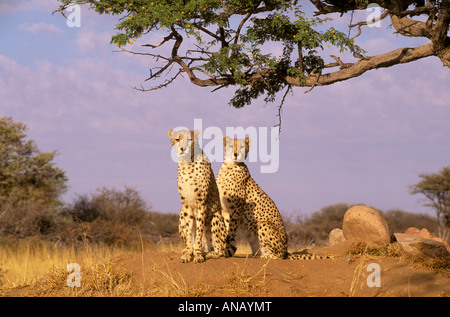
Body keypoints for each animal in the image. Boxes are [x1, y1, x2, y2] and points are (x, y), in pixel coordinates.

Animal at [168, 128, 227, 262]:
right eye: (177, 139)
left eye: (190, 139)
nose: (183, 149)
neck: (187, 163)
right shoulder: (186, 206)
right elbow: (190, 233)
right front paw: (188, 254)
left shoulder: (202, 204)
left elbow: (199, 232)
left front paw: (198, 254)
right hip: (181, 214)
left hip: (216, 216)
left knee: (220, 250)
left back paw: (209, 253)